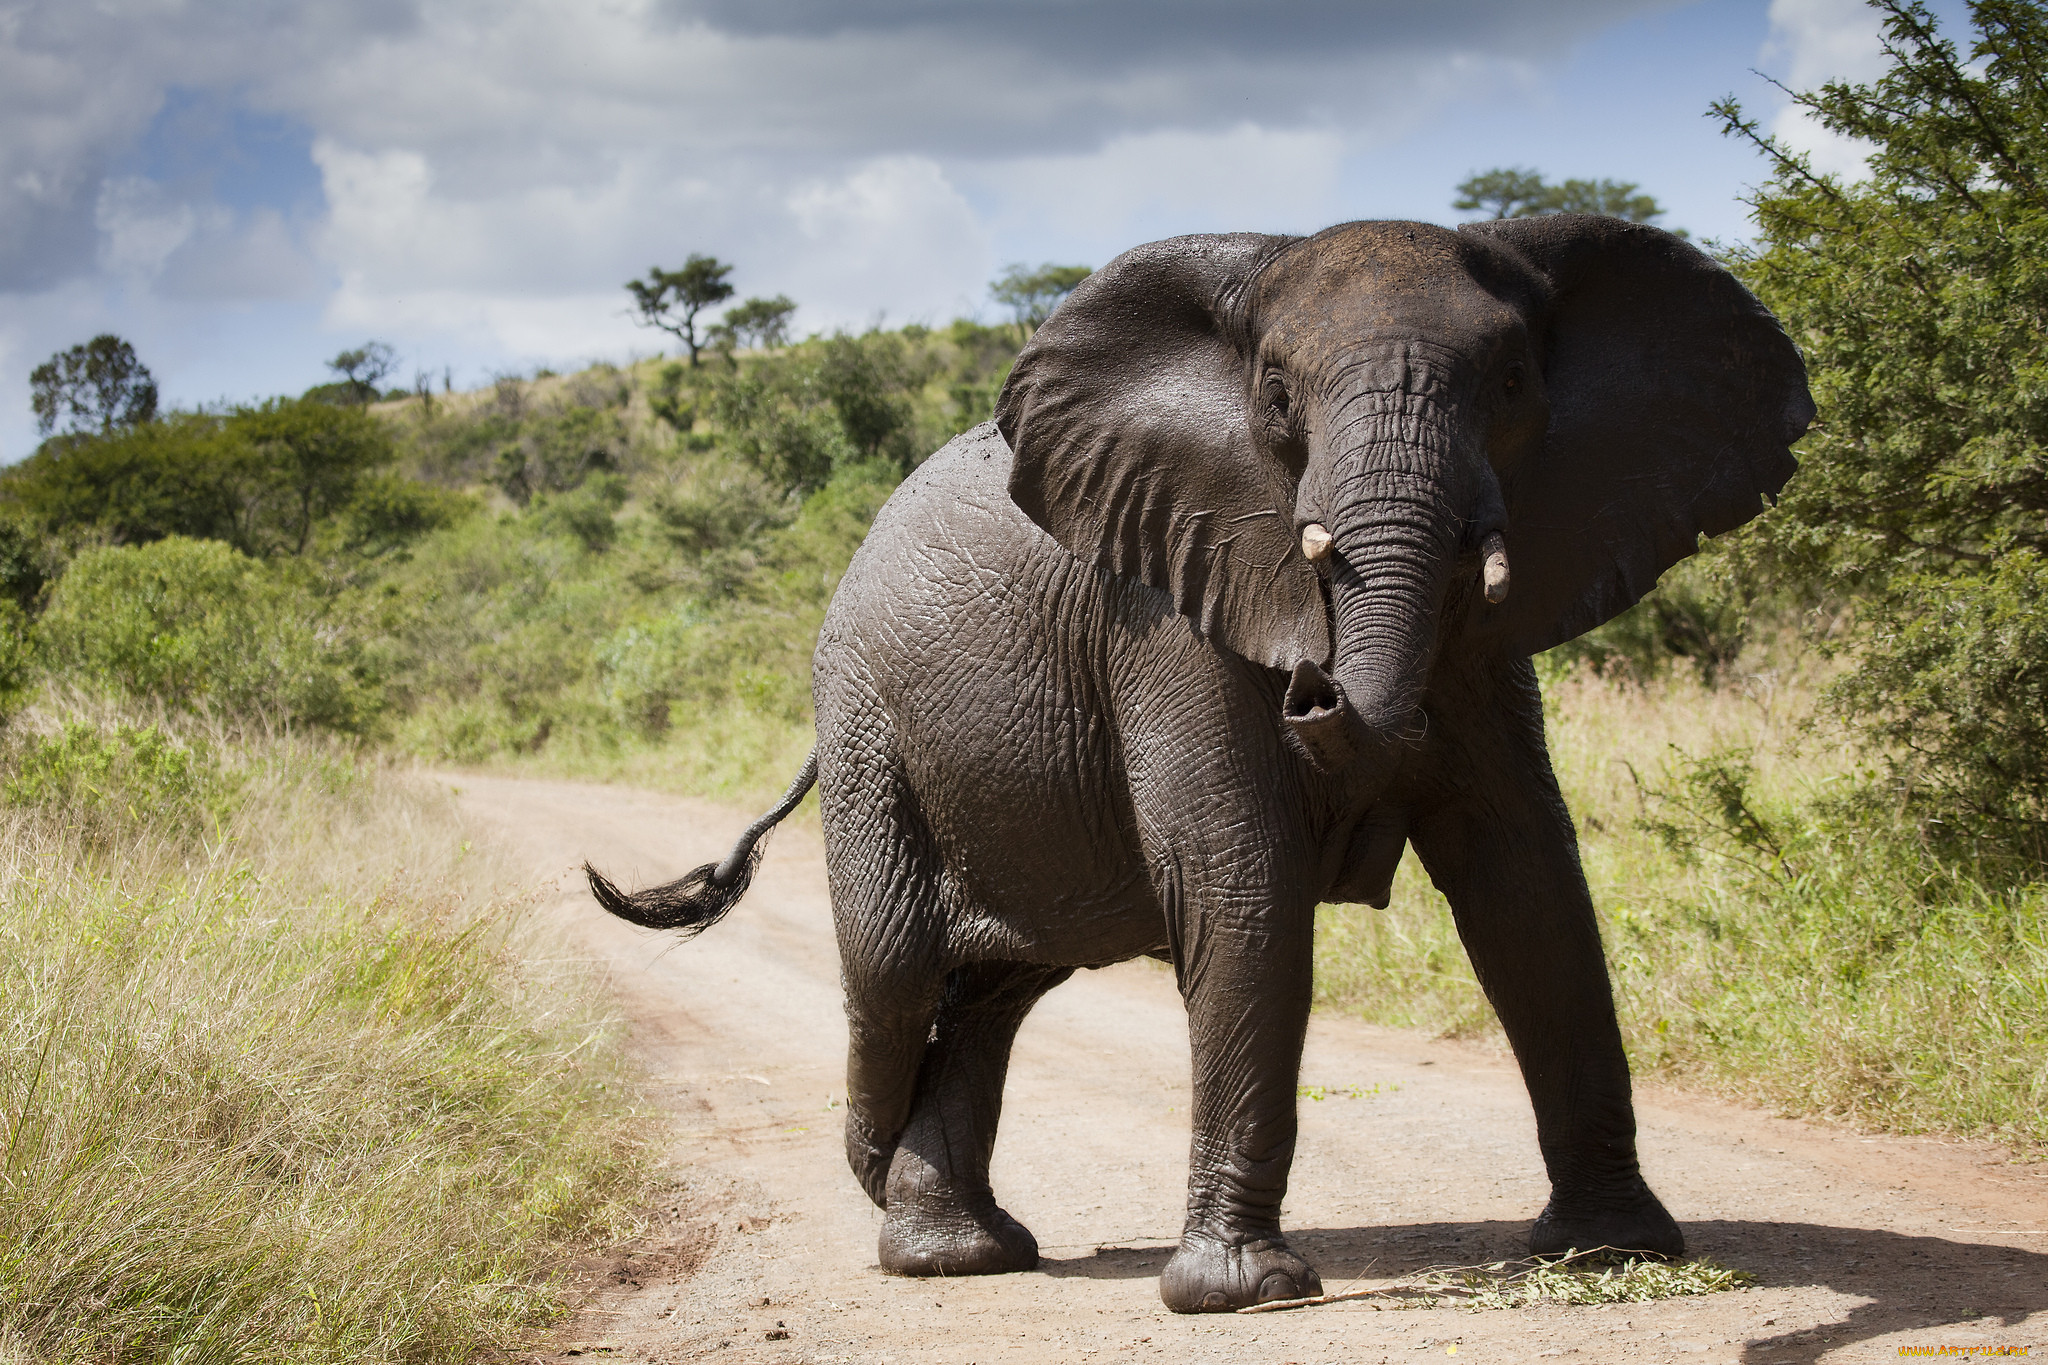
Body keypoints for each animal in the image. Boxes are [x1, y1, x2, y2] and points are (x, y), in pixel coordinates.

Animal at [589, 213, 1810, 1309]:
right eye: (1276, 398)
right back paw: (905, 1201)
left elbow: (1526, 881)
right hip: (865, 725)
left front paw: (1618, 1251)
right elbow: (1243, 884)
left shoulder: (1484, 639)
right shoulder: (1170, 612)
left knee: (991, 994)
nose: (1313, 685)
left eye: (1512, 382)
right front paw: (1238, 1292)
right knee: (897, 977)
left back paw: (957, 1249)